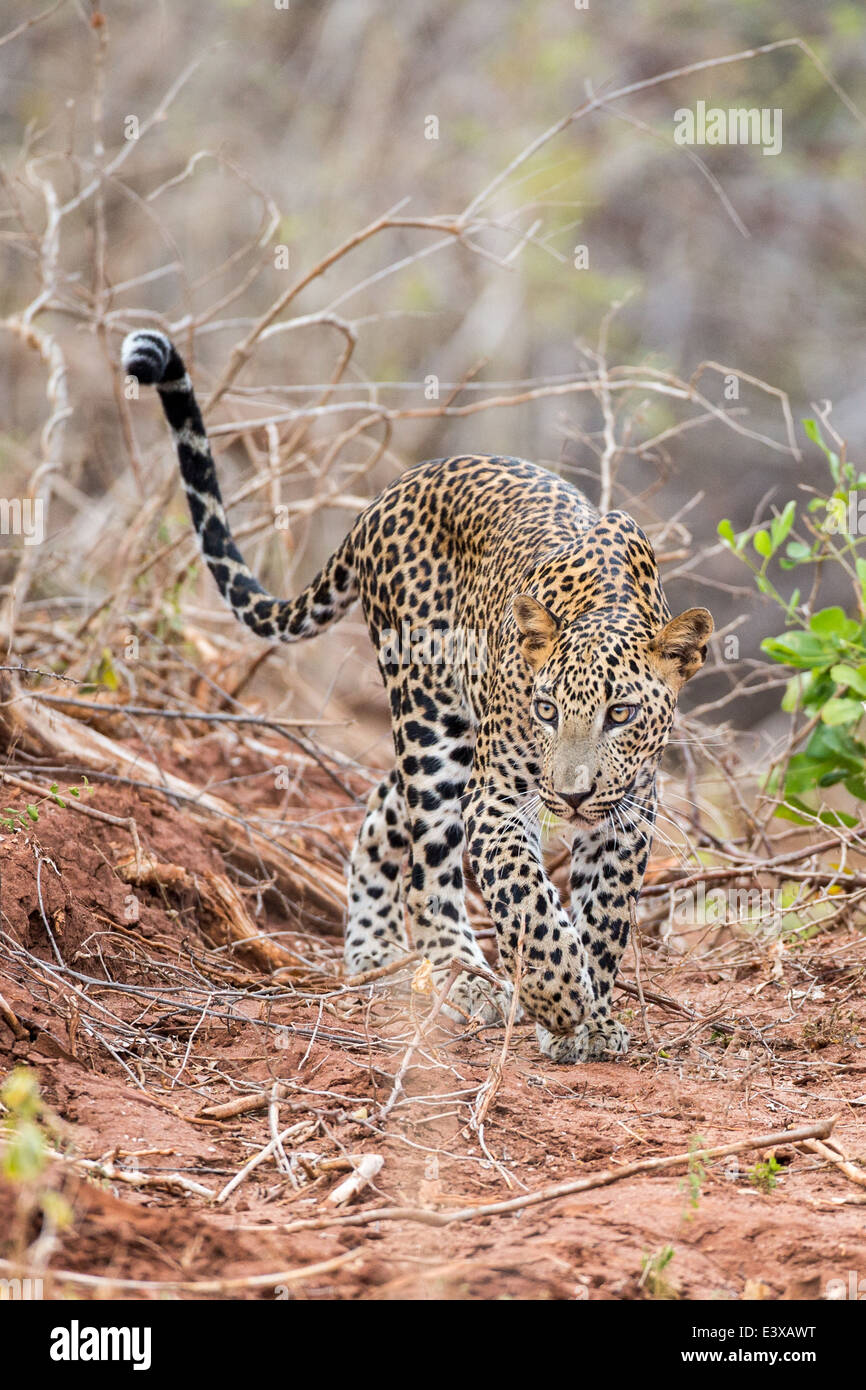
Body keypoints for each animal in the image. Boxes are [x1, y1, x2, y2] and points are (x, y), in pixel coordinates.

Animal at [118, 328, 717, 1061]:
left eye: (621, 714)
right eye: (547, 711)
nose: (572, 796)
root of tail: (388, 494)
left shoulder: (629, 813)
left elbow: (605, 917)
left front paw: (594, 1018)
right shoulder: (497, 801)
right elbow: (526, 897)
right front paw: (558, 998)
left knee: (382, 813)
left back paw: (373, 952)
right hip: (435, 729)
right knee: (429, 870)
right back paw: (465, 975)